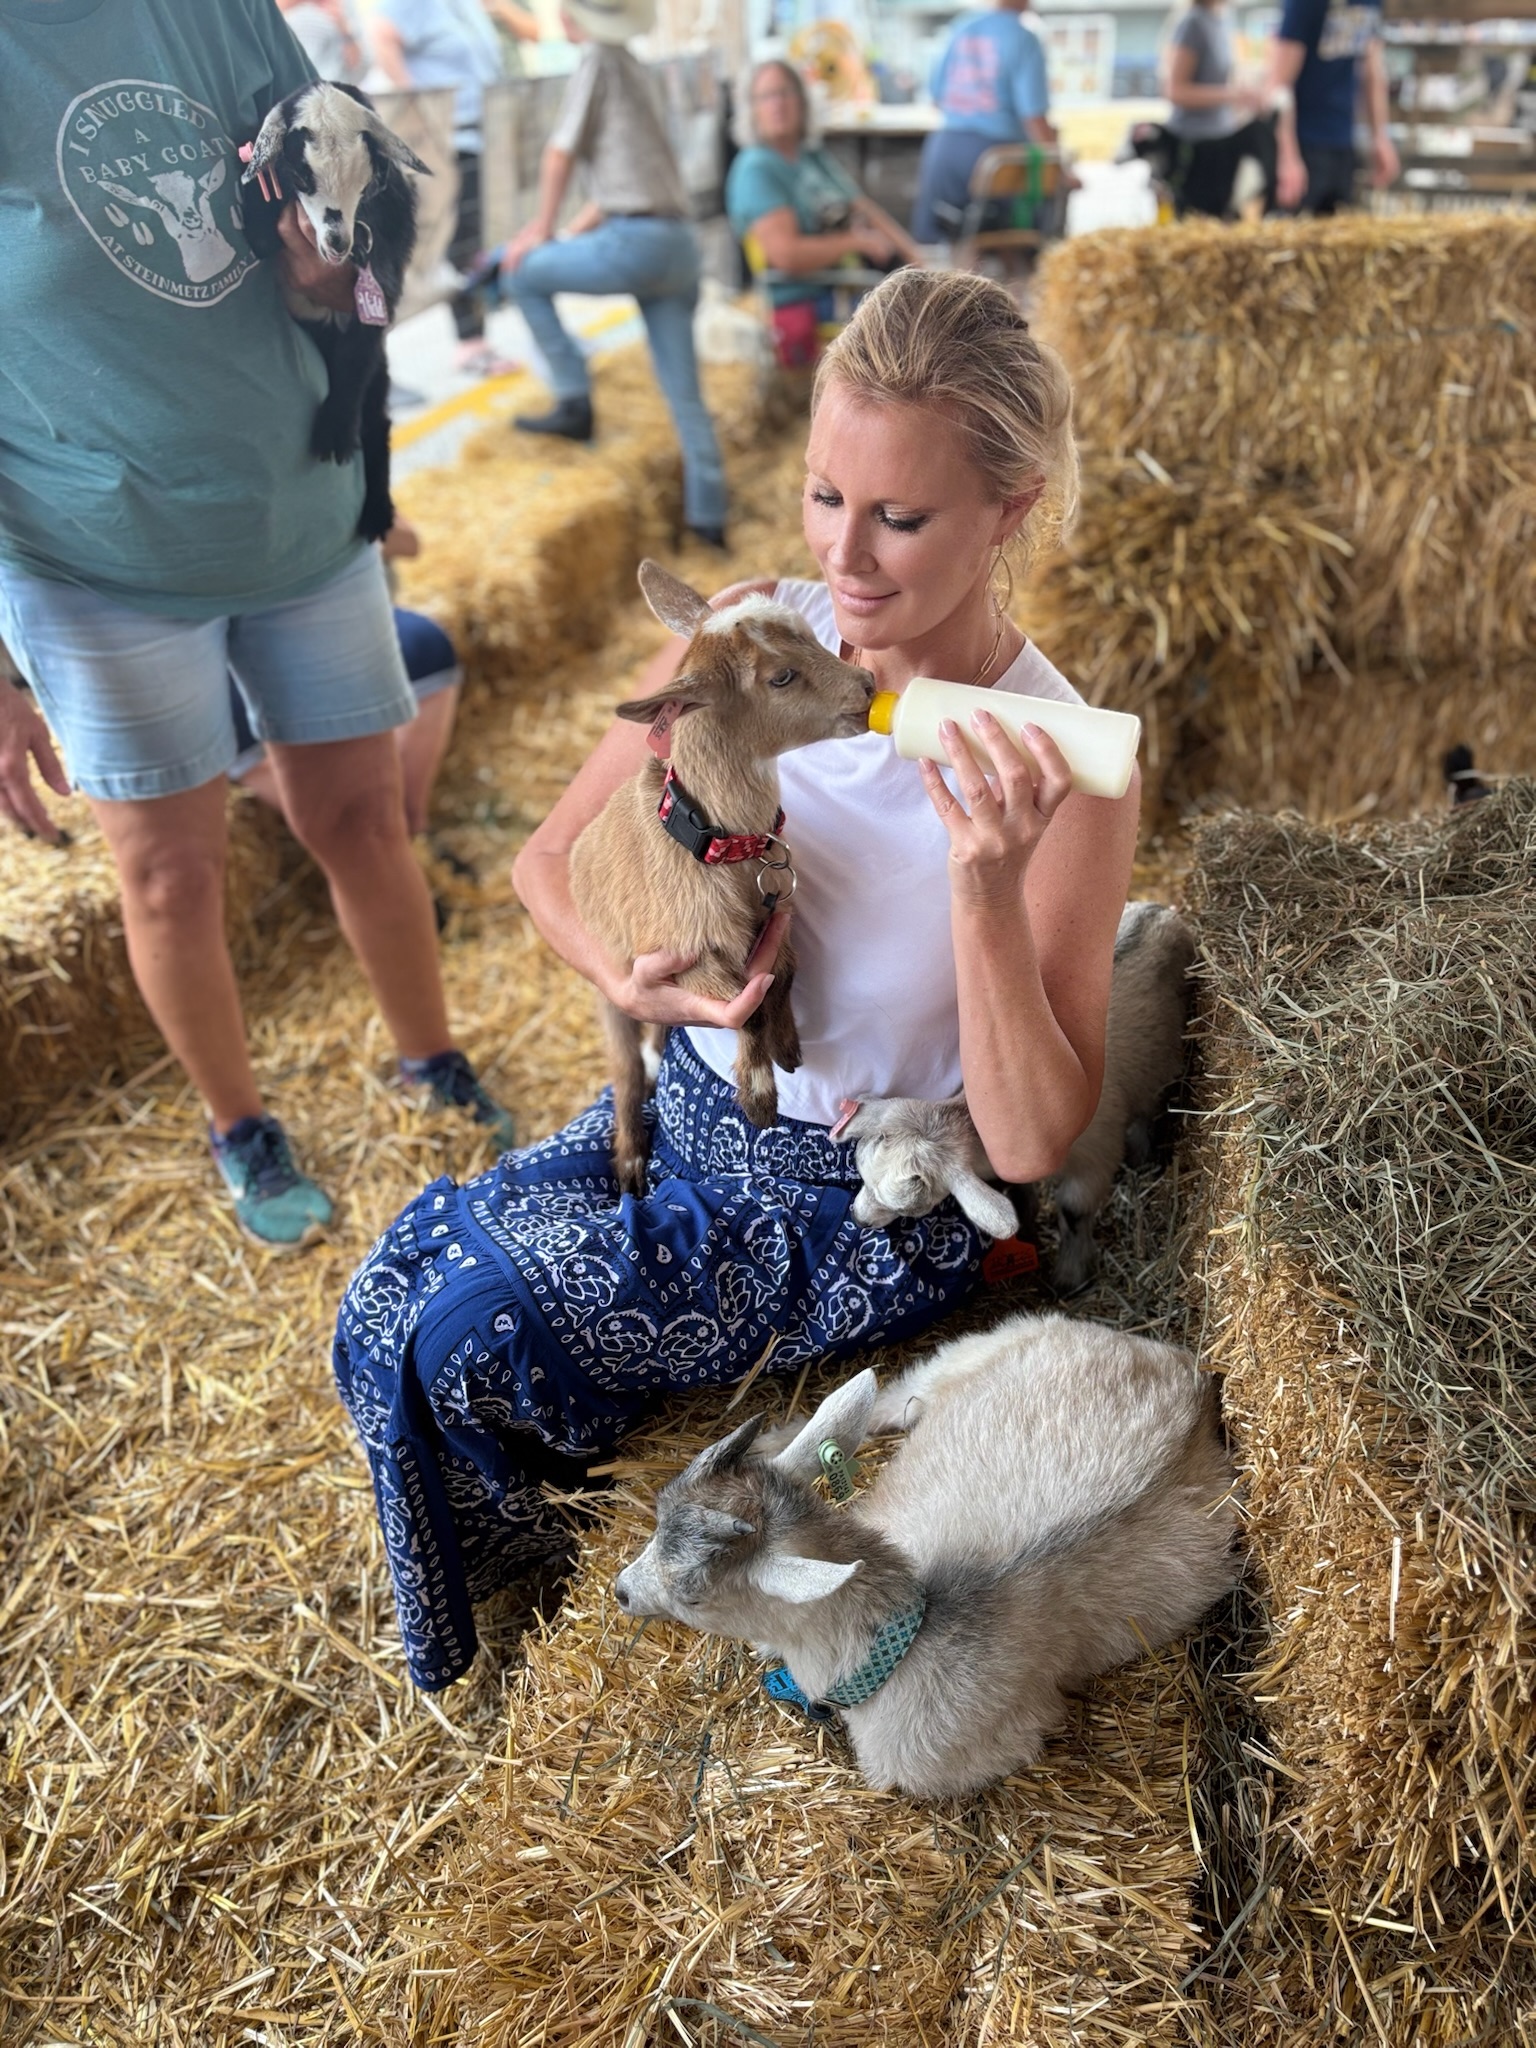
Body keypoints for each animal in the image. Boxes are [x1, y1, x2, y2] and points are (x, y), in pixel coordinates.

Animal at [240, 82, 428, 542]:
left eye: (365, 183)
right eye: (301, 176)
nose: (337, 243)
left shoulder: (379, 296)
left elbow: (355, 361)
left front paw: (335, 435)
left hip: (380, 370)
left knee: (376, 421)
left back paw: (377, 513)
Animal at [568, 563, 875, 1195]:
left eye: (814, 635)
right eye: (781, 677)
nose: (868, 685)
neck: (720, 850)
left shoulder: (778, 917)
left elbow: (784, 972)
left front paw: (788, 1046)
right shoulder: (683, 957)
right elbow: (742, 1004)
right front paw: (758, 1097)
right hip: (606, 983)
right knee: (625, 1067)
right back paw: (630, 1163)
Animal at [841, 903, 1195, 1292]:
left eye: (909, 1207)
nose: (857, 1218)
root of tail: (1162, 910)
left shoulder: (1094, 1155)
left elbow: (1074, 1210)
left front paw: (1069, 1276)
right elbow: (1022, 1192)